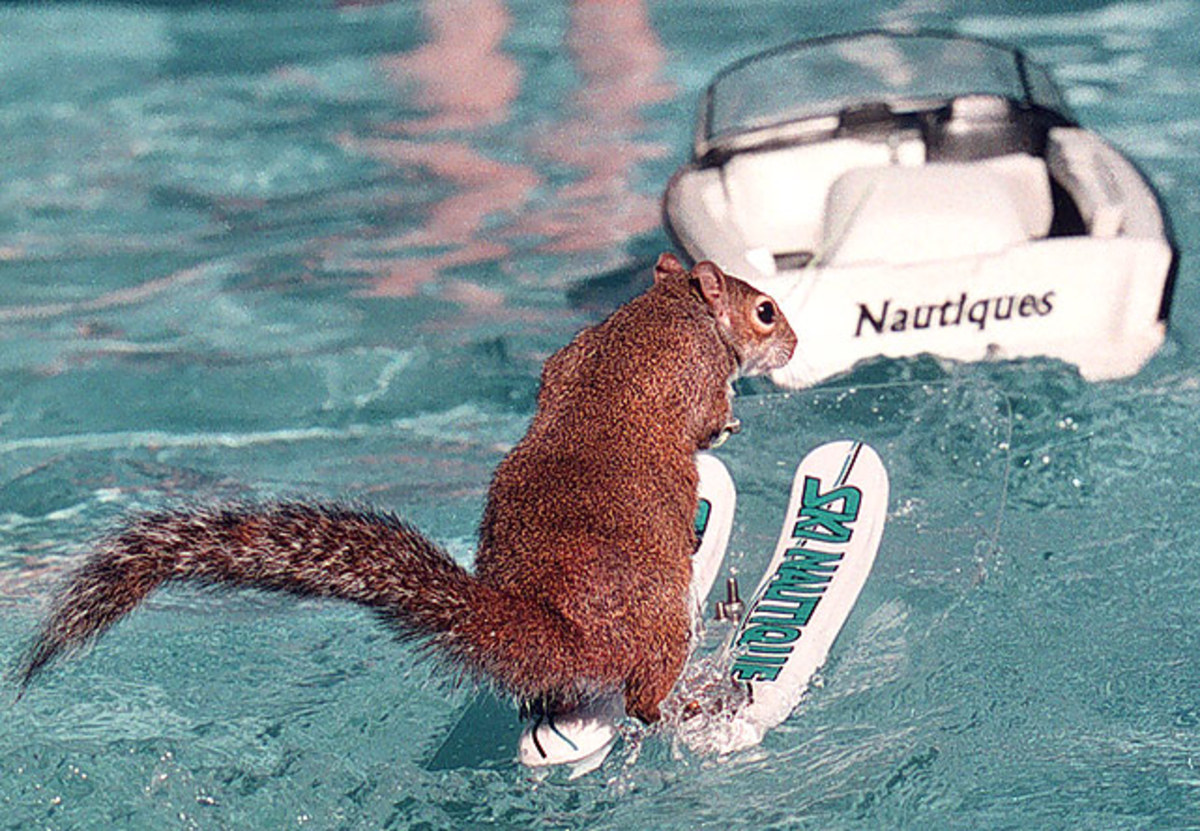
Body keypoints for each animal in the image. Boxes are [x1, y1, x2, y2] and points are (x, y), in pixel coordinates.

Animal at [17, 253, 796, 724]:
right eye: (765, 311)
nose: (792, 342)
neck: (669, 307)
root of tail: (558, 632)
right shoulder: (694, 379)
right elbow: (705, 423)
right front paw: (729, 423)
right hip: (661, 625)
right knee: (640, 698)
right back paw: (685, 706)